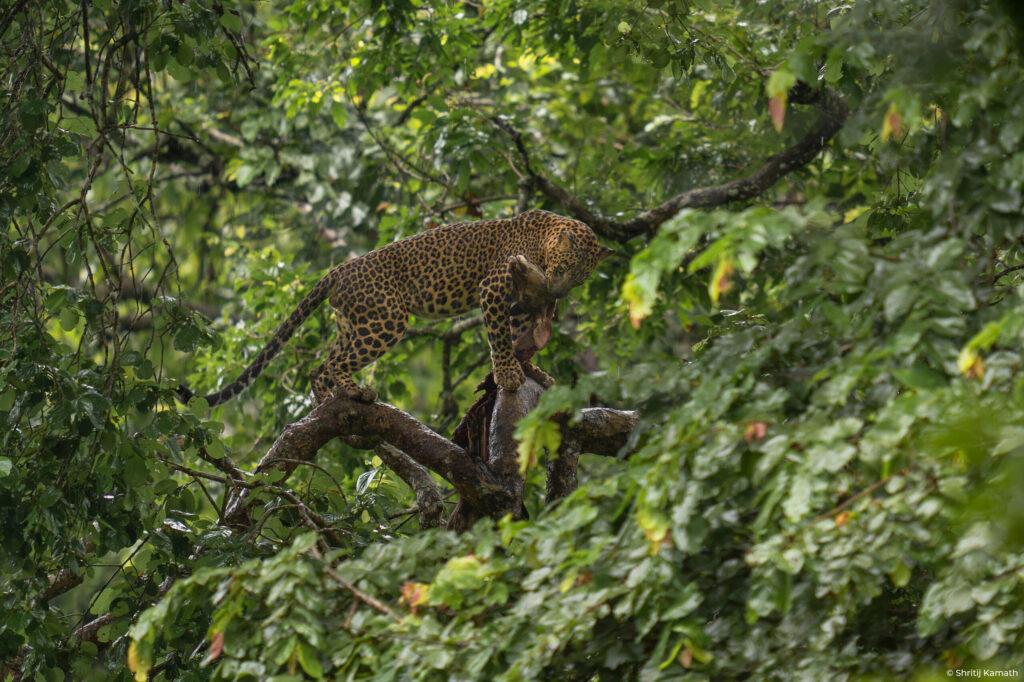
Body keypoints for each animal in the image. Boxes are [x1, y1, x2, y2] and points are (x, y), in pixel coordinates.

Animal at [177, 210, 612, 407]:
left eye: (580, 278)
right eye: (564, 268)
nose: (557, 292)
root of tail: (339, 269)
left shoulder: (519, 303)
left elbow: (520, 335)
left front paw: (534, 370)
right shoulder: (493, 288)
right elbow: (501, 340)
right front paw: (507, 375)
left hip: (354, 322)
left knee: (322, 364)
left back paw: (329, 398)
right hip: (386, 320)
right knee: (337, 362)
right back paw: (354, 391)